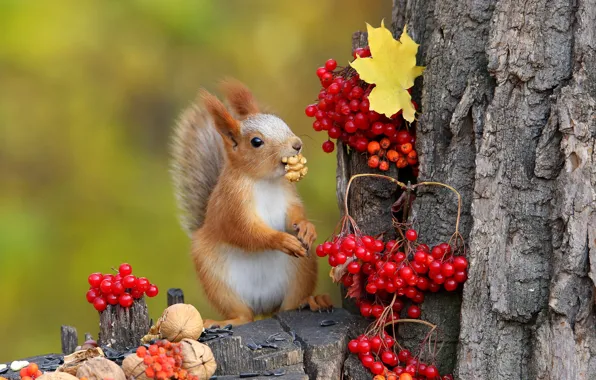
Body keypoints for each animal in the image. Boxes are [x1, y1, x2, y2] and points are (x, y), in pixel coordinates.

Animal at [170, 79, 332, 326]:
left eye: (282, 122)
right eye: (257, 142)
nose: (296, 144)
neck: (264, 181)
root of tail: (264, 307)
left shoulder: (288, 195)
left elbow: (295, 213)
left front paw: (306, 228)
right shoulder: (232, 205)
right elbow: (245, 232)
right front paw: (282, 240)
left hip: (301, 269)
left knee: (290, 305)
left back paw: (313, 301)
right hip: (217, 281)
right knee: (243, 315)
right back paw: (222, 322)